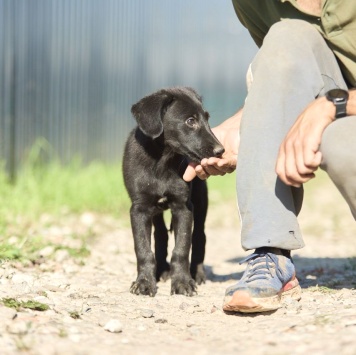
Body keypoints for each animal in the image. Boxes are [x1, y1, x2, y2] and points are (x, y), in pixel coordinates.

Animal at [122, 87, 222, 298]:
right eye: (190, 121)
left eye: (207, 118)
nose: (221, 151)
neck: (162, 161)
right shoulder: (139, 209)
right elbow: (143, 249)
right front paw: (144, 282)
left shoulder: (183, 207)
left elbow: (182, 248)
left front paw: (183, 282)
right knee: (161, 235)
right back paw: (161, 270)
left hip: (200, 202)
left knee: (199, 236)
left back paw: (197, 274)